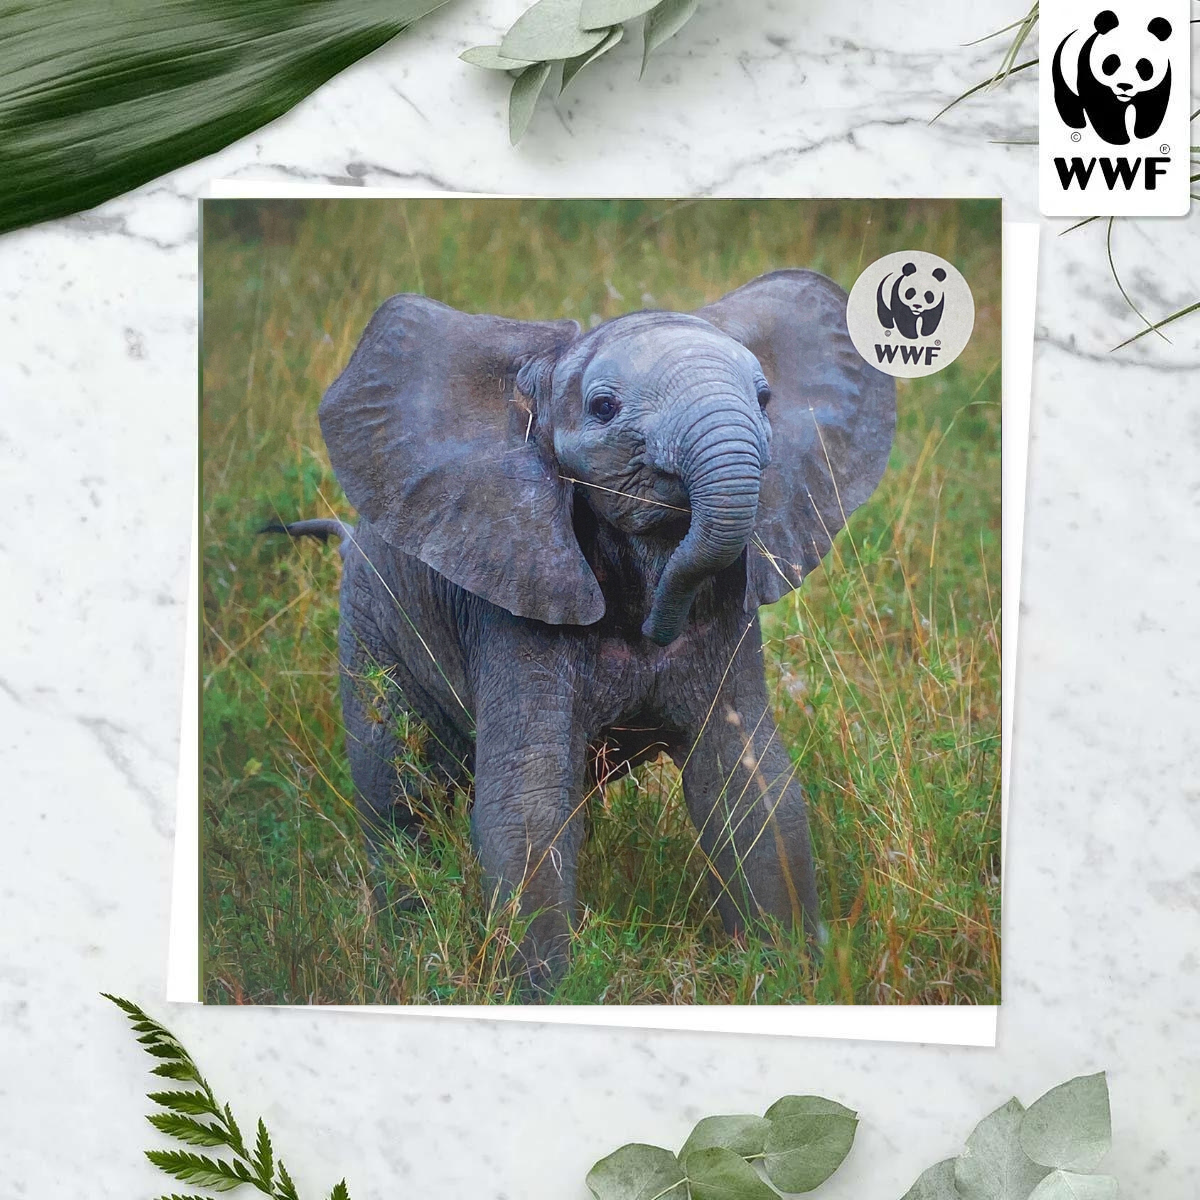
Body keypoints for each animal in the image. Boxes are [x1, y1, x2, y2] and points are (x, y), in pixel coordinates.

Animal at [267, 269, 895, 997]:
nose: (656, 626)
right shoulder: (514, 594)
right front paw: (547, 995)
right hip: (370, 627)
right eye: (603, 407)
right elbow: (529, 808)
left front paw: (790, 980)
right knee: (399, 797)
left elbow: (751, 785)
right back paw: (404, 945)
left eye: (766, 398)